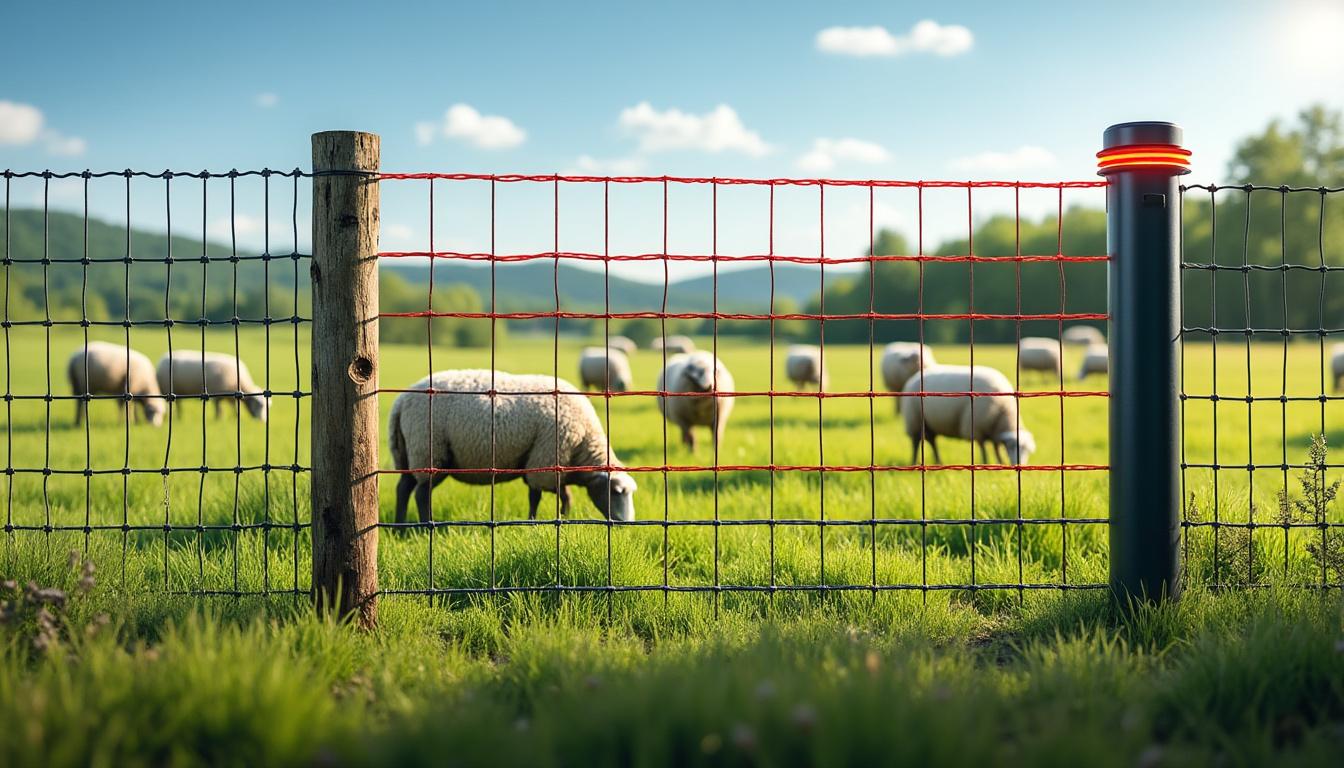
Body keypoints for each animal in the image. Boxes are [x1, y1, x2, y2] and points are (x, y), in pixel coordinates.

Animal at [387, 369, 637, 523]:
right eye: (616, 492)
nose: (627, 523)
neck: (583, 443)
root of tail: (401, 402)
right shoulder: (545, 459)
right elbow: (537, 496)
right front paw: (533, 522)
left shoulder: (553, 465)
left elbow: (564, 495)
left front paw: (564, 518)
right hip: (429, 451)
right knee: (421, 493)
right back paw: (423, 525)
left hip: (406, 453)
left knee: (403, 488)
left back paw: (400, 526)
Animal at [901, 364, 1035, 466]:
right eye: (1012, 446)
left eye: (1028, 450)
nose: (1019, 464)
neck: (1003, 410)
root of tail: (915, 376)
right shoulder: (977, 426)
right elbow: (983, 447)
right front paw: (986, 462)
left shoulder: (994, 429)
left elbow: (996, 447)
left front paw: (1000, 462)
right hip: (914, 419)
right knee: (915, 442)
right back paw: (913, 462)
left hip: (929, 424)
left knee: (932, 442)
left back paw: (938, 461)